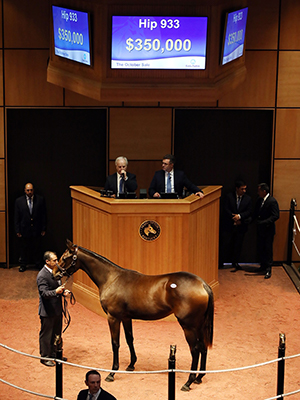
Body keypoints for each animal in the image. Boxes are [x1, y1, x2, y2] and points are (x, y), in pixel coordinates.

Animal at [53, 239, 213, 392]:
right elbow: (130, 339)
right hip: (199, 325)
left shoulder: (113, 318)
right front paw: (131, 364)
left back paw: (189, 381)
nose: (55, 273)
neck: (111, 278)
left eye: (65, 258)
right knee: (203, 346)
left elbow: (115, 343)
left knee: (195, 350)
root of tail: (202, 284)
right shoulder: (126, 318)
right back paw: (199, 377)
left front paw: (112, 373)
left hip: (188, 326)